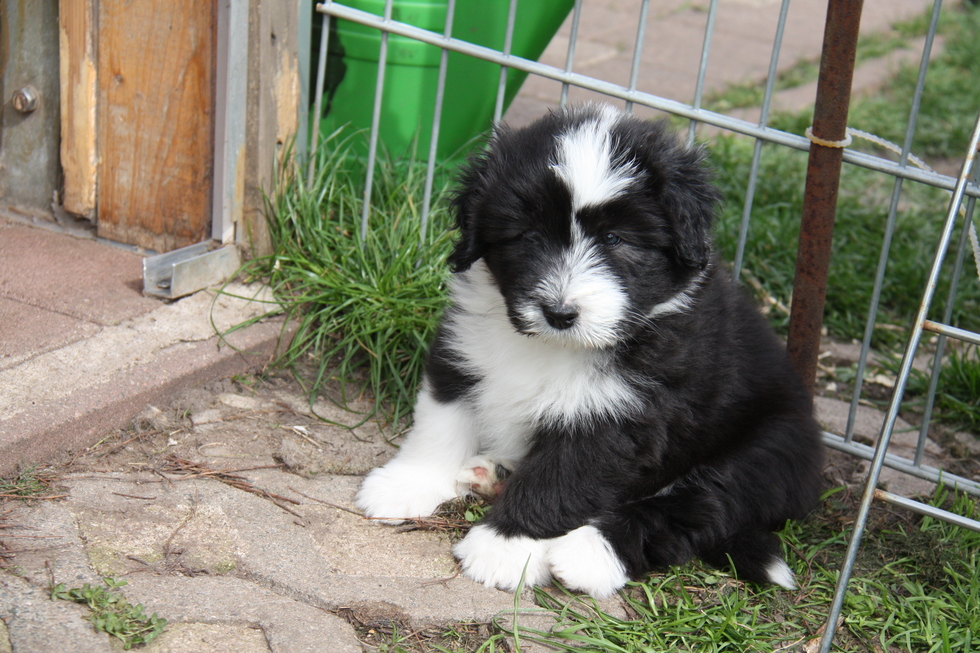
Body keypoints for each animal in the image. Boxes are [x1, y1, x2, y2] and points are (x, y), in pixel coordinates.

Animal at [356, 103, 824, 598]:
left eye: (616, 240)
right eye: (528, 235)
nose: (559, 312)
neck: (553, 346)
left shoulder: (619, 415)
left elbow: (559, 479)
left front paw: (505, 548)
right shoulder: (463, 352)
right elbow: (439, 424)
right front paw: (407, 484)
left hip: (766, 451)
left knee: (695, 508)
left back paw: (588, 554)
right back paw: (496, 475)